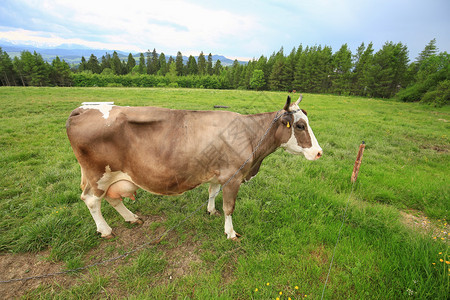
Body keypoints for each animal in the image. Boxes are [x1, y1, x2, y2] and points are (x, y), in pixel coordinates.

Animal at [65, 95, 322, 240]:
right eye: (299, 126)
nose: (319, 152)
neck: (250, 135)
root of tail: (83, 109)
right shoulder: (234, 176)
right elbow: (230, 207)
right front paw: (230, 233)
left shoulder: (218, 173)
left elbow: (212, 192)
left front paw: (210, 211)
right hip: (98, 173)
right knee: (92, 200)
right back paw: (106, 230)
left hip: (109, 176)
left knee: (111, 198)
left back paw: (131, 218)